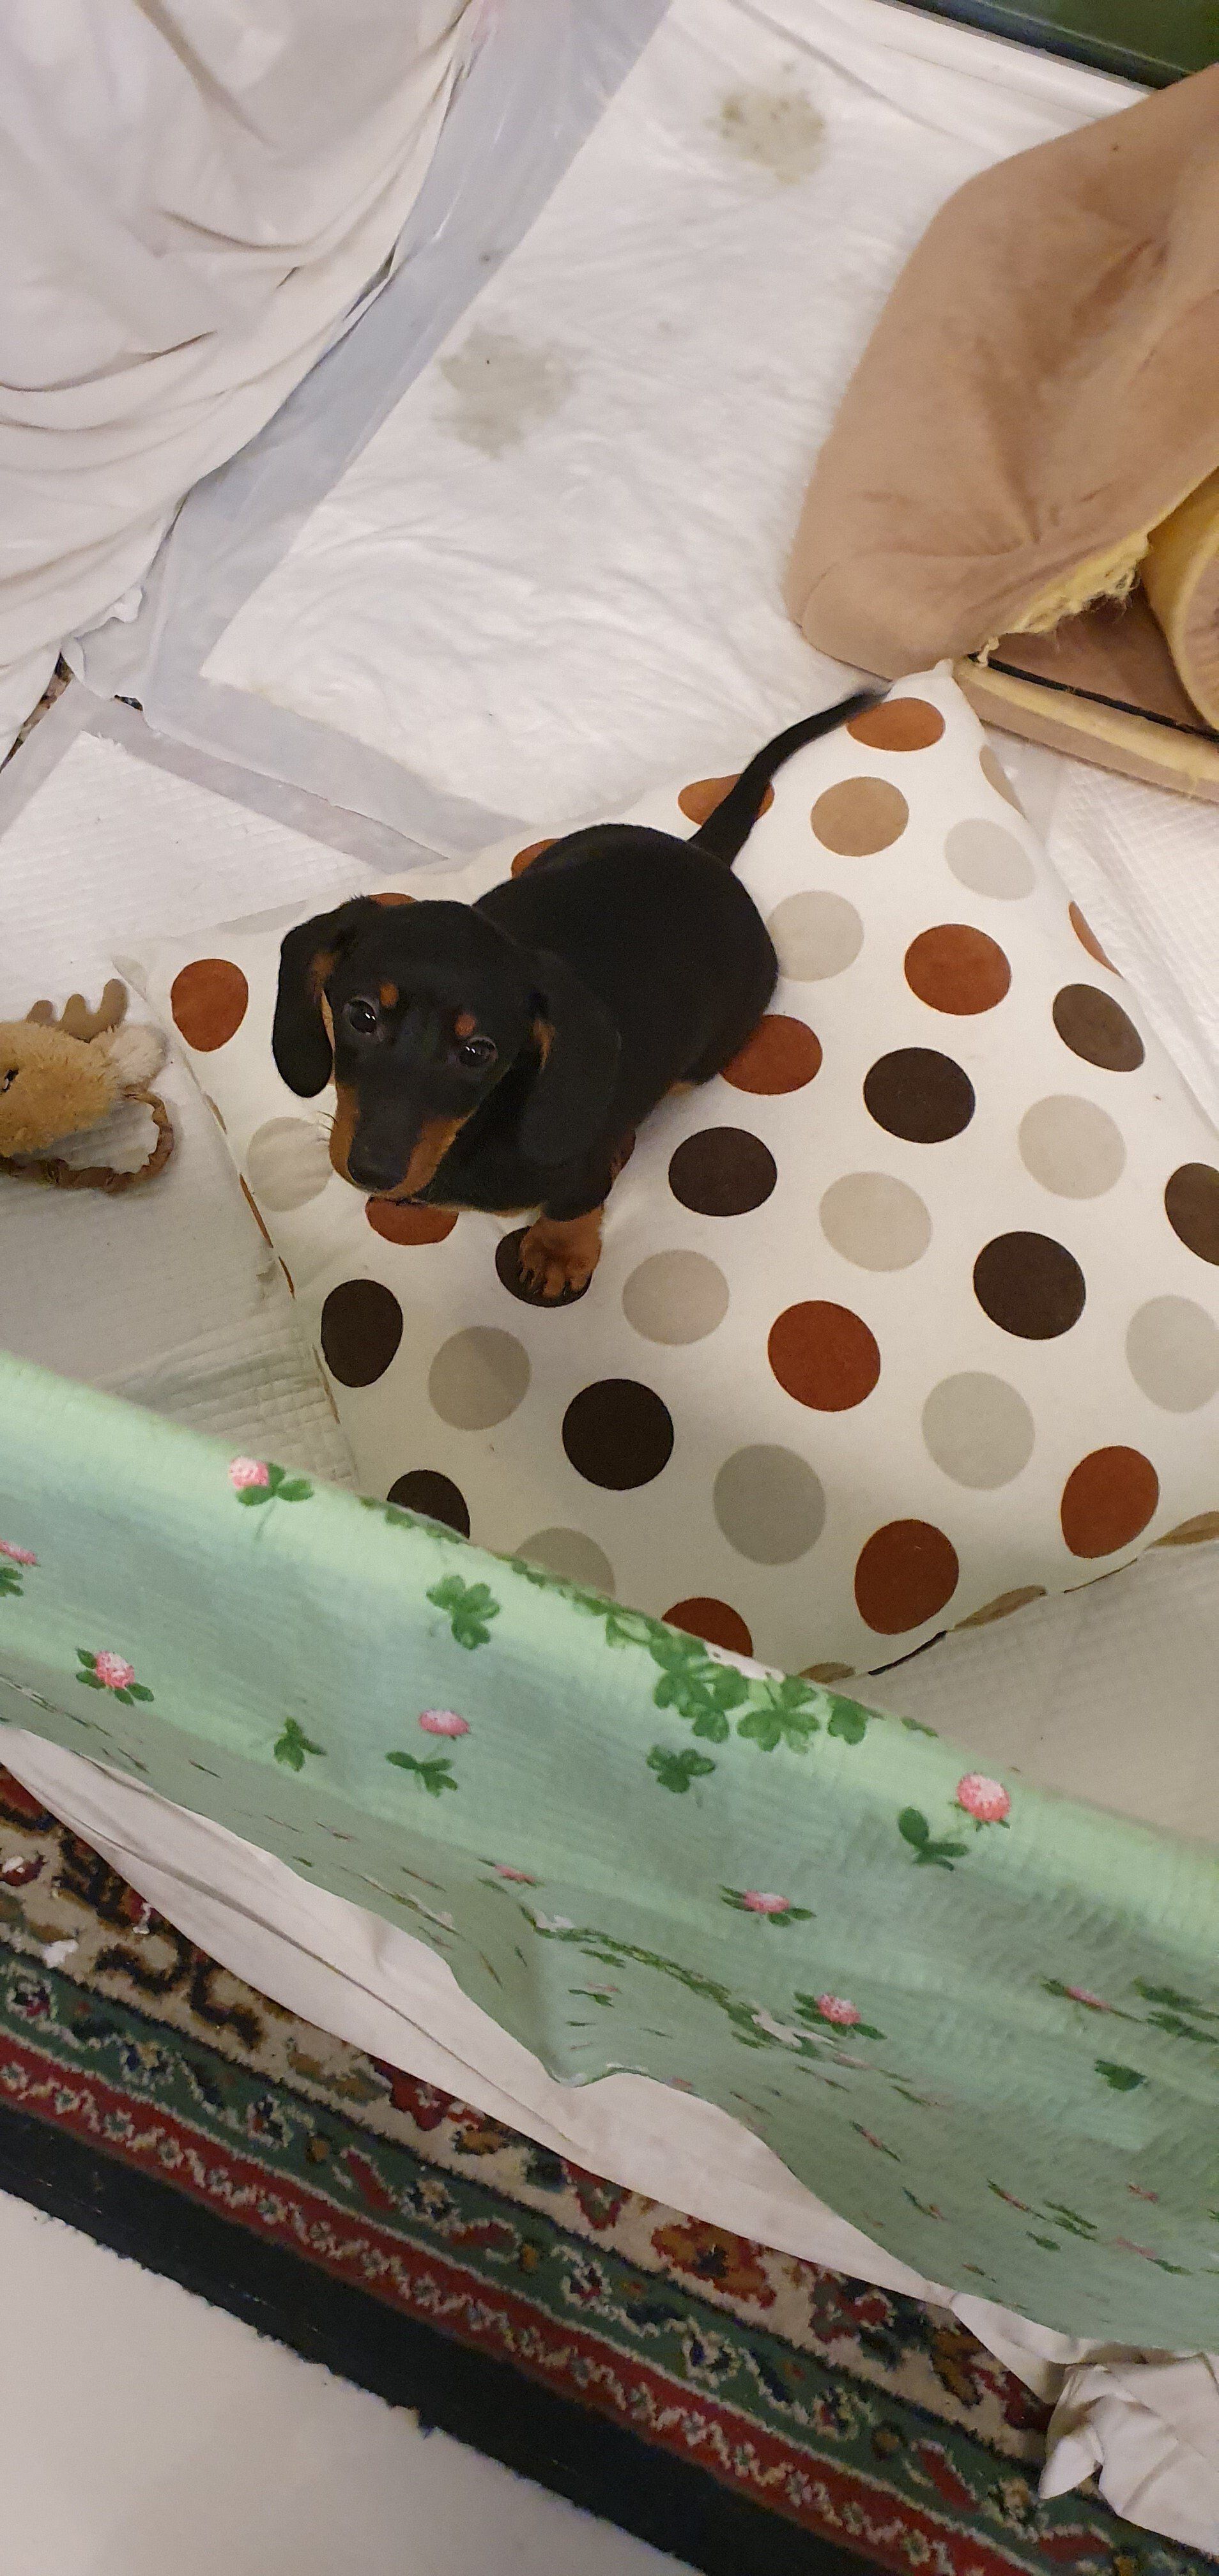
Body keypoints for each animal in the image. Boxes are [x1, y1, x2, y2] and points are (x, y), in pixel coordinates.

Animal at [273, 695, 876, 1298]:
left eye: (478, 1052)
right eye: (361, 1014)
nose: (374, 1173)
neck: (472, 1132)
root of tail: (702, 855)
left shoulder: (579, 1165)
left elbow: (574, 1201)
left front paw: (558, 1252)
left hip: (703, 1058)